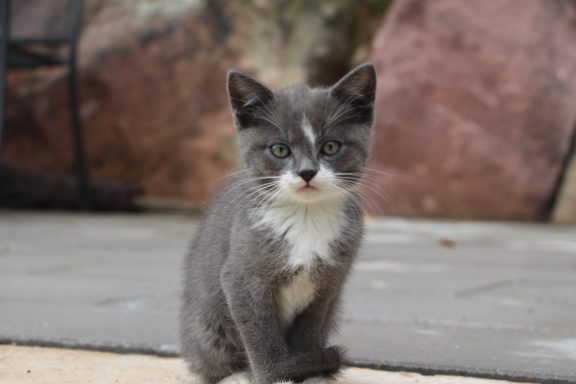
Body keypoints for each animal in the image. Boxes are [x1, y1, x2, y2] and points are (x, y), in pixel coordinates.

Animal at [181, 63, 378, 384]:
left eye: (331, 147)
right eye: (280, 150)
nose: (307, 172)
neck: (306, 217)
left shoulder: (328, 285)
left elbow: (308, 332)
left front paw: (308, 372)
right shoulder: (241, 279)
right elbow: (259, 335)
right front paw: (273, 375)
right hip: (208, 323)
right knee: (210, 364)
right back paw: (234, 375)